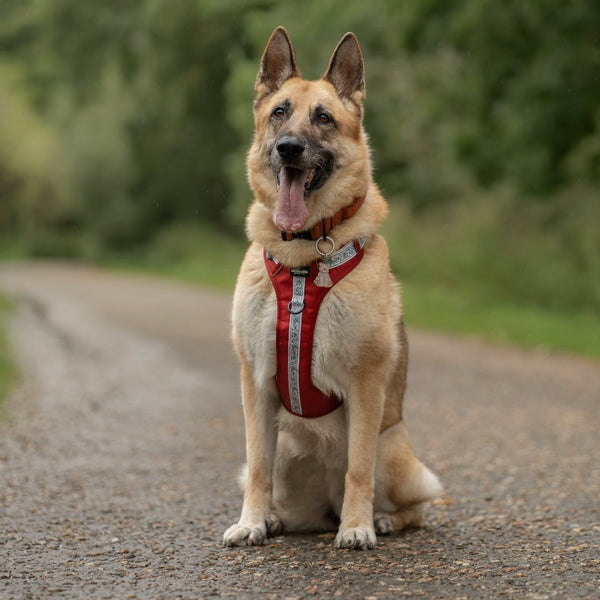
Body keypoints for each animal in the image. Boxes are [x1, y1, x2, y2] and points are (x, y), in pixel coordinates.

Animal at [223, 25, 442, 548]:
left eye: (323, 118)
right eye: (279, 112)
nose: (288, 148)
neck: (303, 255)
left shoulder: (365, 384)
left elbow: (357, 468)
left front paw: (358, 527)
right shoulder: (254, 384)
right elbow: (258, 467)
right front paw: (251, 523)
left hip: (394, 449)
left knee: (416, 504)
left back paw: (379, 520)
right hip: (286, 448)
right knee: (277, 485)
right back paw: (276, 518)